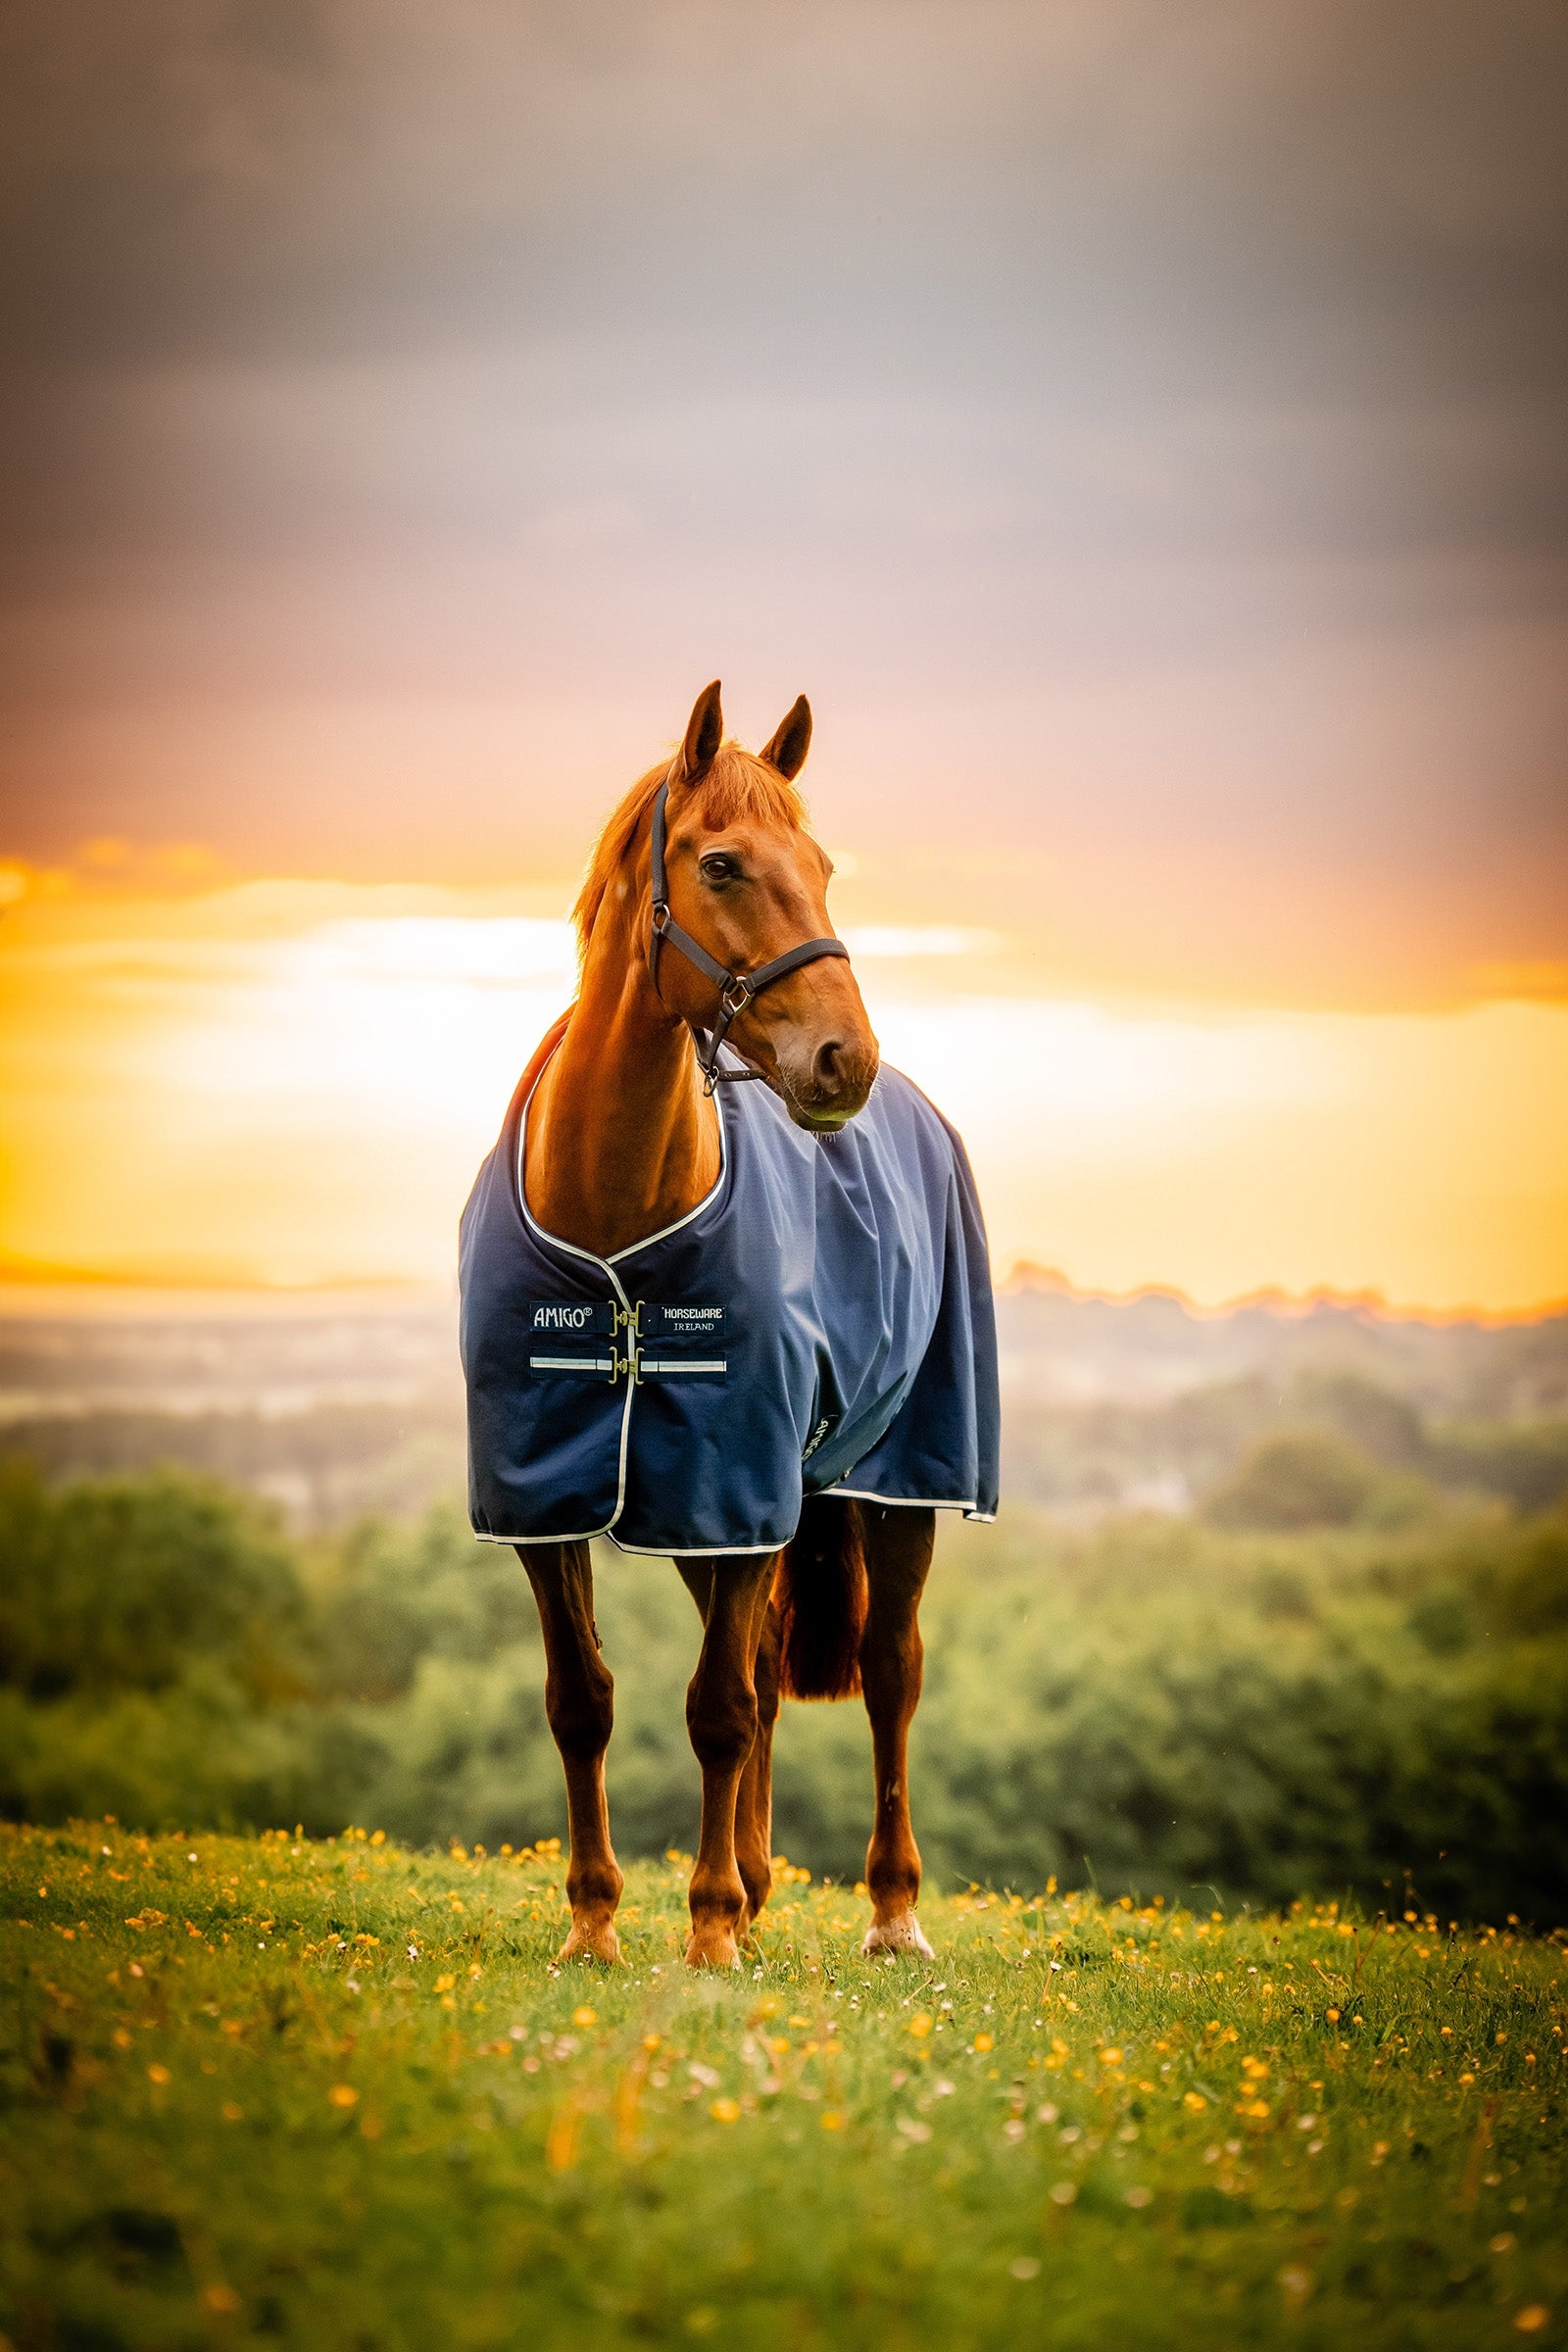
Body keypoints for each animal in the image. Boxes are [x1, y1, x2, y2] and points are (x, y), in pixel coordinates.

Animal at [459, 680, 999, 1969]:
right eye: (720, 863)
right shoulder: (558, 1497)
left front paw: (704, 1935)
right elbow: (583, 1702)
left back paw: (889, 1910)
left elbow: (718, 1709)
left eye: (823, 864)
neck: (615, 1220)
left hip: (895, 1482)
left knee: (888, 1671)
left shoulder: (738, 1483)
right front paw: (596, 1926)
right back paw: (753, 1886)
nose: (843, 1059)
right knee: (756, 1666)